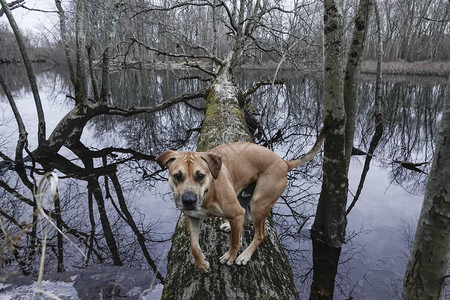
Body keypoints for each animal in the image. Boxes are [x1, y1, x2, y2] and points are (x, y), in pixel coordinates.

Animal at [156, 130, 326, 274]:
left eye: (200, 176)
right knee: (246, 218)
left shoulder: (235, 212)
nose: (189, 201)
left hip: (258, 204)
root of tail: (284, 162)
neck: (208, 191)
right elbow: (194, 246)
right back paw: (229, 226)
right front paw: (201, 263)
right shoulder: (193, 218)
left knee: (260, 234)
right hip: (242, 197)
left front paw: (230, 256)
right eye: (177, 176)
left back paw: (245, 255)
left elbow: (234, 241)